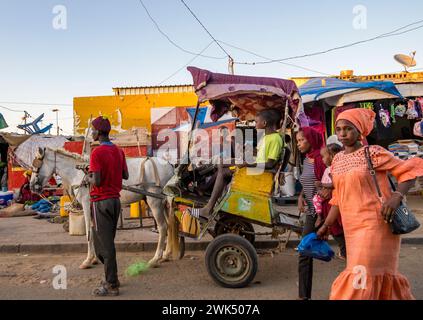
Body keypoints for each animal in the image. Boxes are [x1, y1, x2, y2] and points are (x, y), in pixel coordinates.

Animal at [29, 149, 176, 268]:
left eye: (37, 165)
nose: (31, 186)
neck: (79, 174)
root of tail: (169, 165)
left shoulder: (86, 204)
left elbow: (88, 231)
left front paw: (88, 260)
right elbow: (93, 230)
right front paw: (94, 259)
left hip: (154, 201)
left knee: (163, 227)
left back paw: (156, 258)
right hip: (164, 203)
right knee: (169, 225)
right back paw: (166, 255)